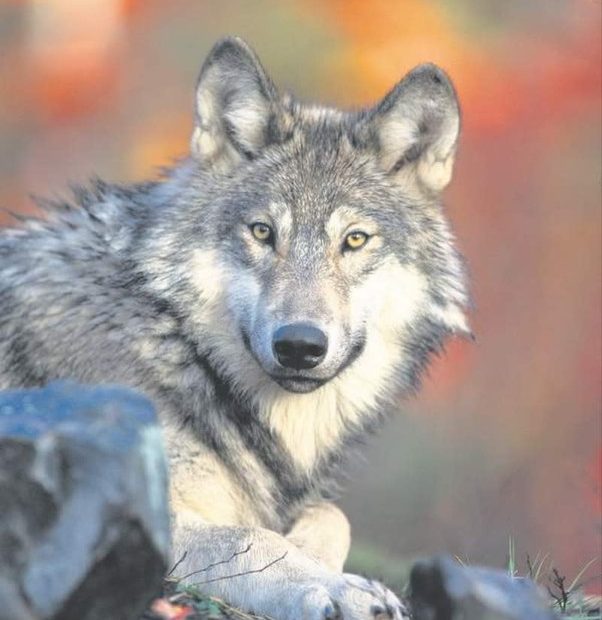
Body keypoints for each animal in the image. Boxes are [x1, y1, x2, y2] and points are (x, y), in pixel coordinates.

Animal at [0, 38, 468, 620]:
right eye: (263, 232)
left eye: (355, 240)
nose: (299, 345)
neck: (175, 342)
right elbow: (251, 538)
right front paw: (335, 585)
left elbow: (332, 516)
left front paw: (315, 553)